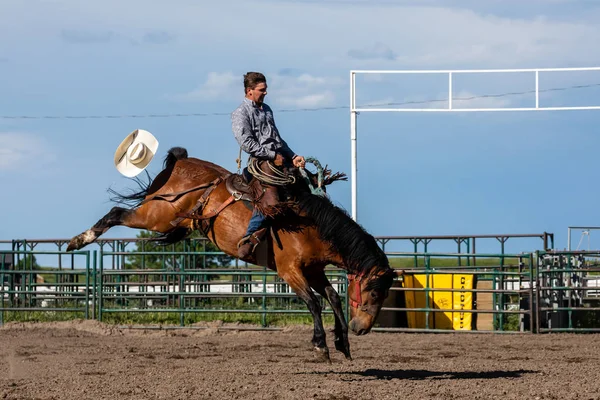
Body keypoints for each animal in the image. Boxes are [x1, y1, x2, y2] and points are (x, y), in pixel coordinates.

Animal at [68, 148, 400, 362]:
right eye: (373, 291)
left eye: (385, 294)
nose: (361, 329)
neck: (312, 225)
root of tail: (180, 162)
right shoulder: (289, 270)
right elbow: (314, 303)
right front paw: (321, 346)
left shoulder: (314, 269)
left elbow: (333, 298)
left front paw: (342, 343)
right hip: (157, 214)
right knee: (116, 212)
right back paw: (78, 240)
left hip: (169, 219)